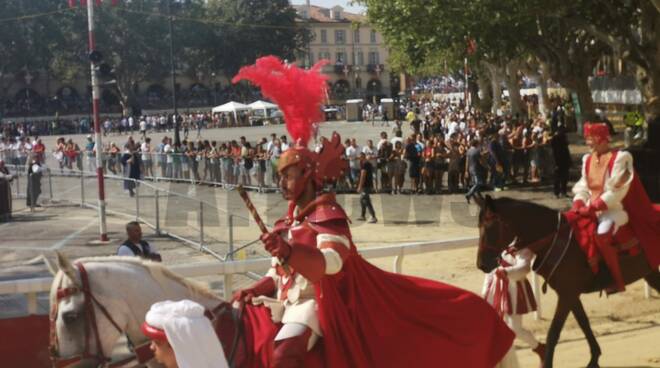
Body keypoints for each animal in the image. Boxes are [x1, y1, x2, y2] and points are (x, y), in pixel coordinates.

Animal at [474, 194, 660, 366]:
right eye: (478, 226)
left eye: (489, 227)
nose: (482, 264)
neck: (554, 239)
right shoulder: (570, 294)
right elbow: (584, 323)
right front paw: (594, 358)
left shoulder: (567, 295)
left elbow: (553, 333)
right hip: (650, 273)